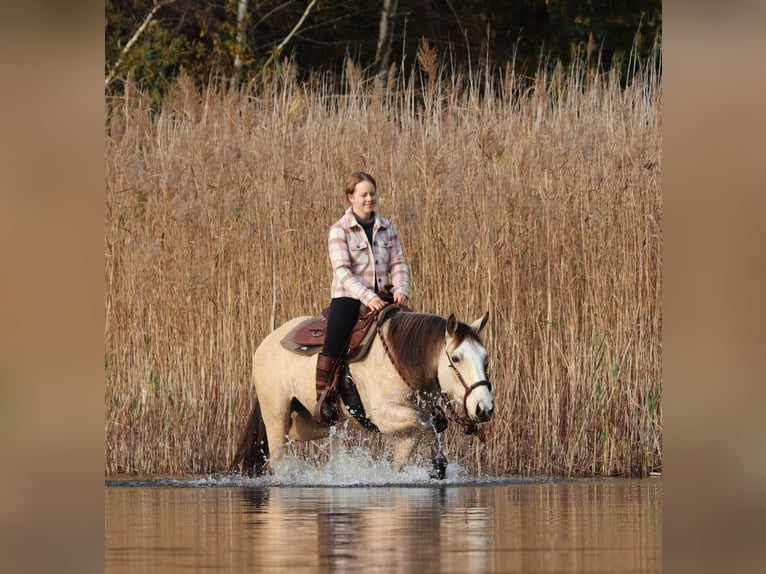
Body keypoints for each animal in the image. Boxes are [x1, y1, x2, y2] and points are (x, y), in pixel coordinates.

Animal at [231, 307, 494, 479]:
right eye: (456, 358)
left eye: (485, 358)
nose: (484, 408)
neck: (401, 358)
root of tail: (265, 343)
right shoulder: (385, 416)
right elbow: (428, 423)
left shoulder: (407, 424)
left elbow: (419, 438)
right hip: (276, 415)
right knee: (276, 455)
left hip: (313, 421)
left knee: (293, 434)